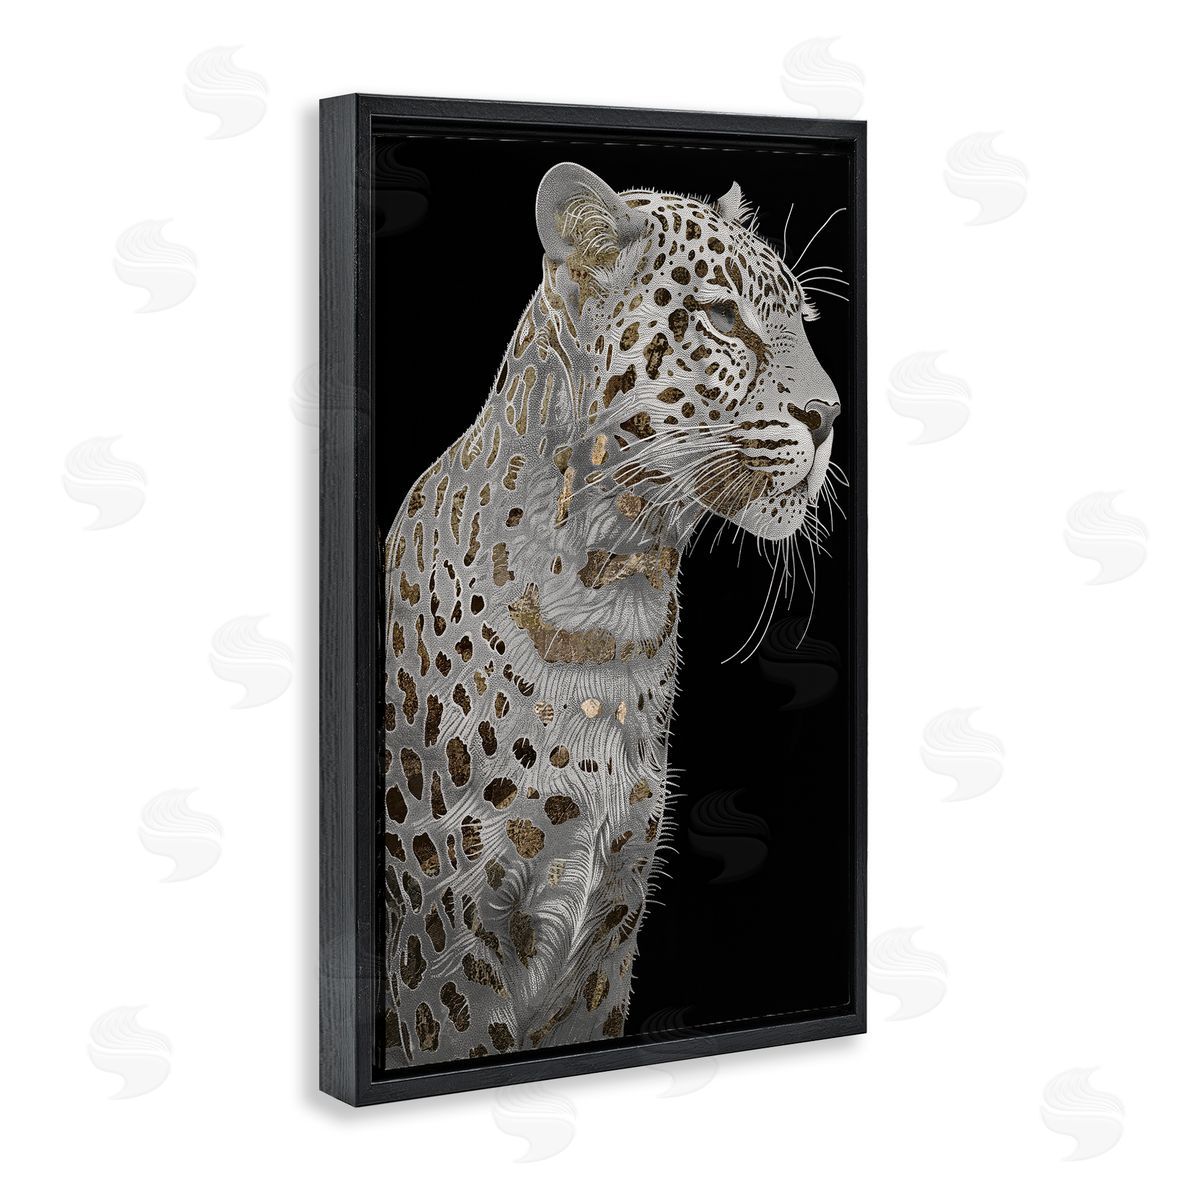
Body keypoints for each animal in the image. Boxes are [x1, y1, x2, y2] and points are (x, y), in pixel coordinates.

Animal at [380, 161, 843, 1067]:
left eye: (799, 322)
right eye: (723, 317)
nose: (831, 416)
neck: (613, 598)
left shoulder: (608, 931)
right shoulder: (448, 946)